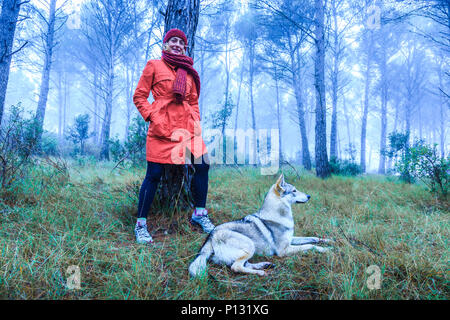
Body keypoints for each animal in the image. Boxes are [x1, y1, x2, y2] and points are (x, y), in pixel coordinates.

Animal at [188, 174, 332, 276]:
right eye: (294, 191)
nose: (309, 196)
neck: (278, 215)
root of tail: (211, 236)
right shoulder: (283, 250)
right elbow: (310, 245)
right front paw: (325, 250)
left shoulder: (292, 239)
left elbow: (313, 238)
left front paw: (328, 241)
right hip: (249, 245)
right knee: (236, 267)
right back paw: (260, 272)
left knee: (243, 264)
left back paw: (264, 265)